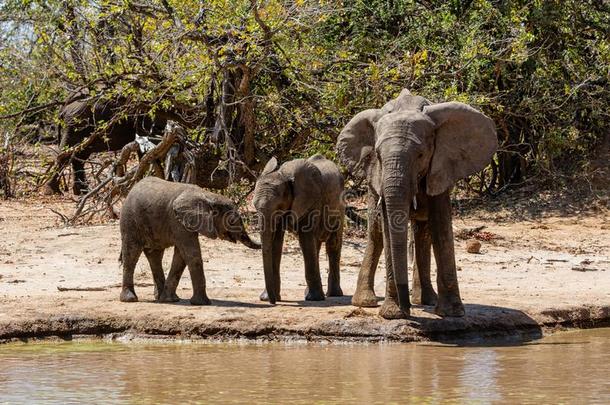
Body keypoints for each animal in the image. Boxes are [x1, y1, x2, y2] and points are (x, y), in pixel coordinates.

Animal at [119, 175, 258, 304]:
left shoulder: (185, 224)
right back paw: (130, 299)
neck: (208, 196)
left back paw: (161, 298)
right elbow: (191, 254)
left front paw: (170, 299)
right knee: (131, 255)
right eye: (231, 221)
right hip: (129, 220)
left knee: (155, 256)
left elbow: (181, 257)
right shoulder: (178, 222)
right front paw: (202, 303)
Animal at [251, 154, 342, 304]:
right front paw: (266, 298)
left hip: (340, 207)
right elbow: (276, 242)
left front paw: (314, 299)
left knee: (332, 245)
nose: (273, 302)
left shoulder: (310, 202)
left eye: (279, 207)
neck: (284, 176)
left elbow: (305, 239)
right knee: (316, 246)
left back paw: (333, 294)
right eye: (254, 207)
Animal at [334, 88, 496, 318]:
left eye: (420, 155)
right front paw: (392, 314)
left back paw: (426, 300)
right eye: (378, 156)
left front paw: (451, 313)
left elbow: (441, 227)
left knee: (423, 232)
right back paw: (366, 302)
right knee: (376, 233)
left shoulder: (441, 167)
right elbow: (387, 228)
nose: (407, 309)